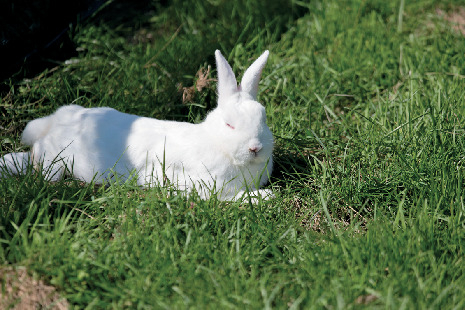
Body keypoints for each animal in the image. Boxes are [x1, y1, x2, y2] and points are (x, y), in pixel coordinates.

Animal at [0, 50, 274, 201]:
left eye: (263, 118)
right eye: (229, 125)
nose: (255, 148)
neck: (219, 146)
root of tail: (56, 121)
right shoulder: (207, 187)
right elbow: (232, 198)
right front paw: (264, 197)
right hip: (54, 159)